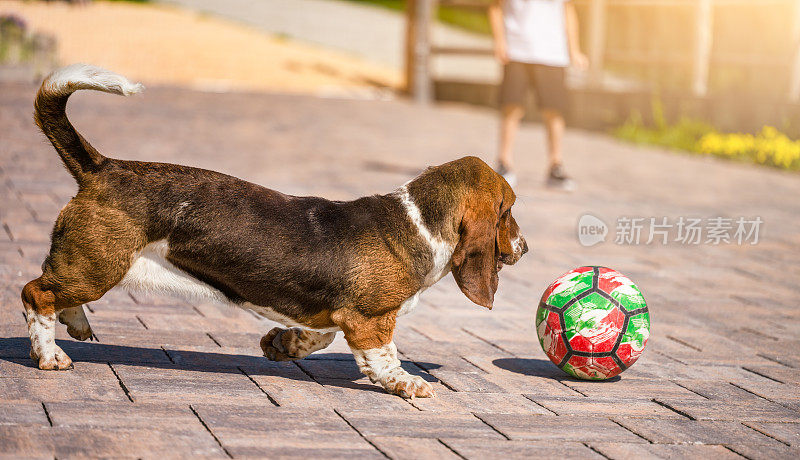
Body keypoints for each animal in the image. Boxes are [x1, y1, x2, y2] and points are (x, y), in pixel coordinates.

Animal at [21, 64, 528, 398]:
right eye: (509, 209)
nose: (525, 247)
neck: (419, 221)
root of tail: (103, 167)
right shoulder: (371, 319)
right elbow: (385, 357)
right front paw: (408, 383)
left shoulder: (334, 314)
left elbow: (320, 336)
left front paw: (282, 344)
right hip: (99, 267)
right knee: (35, 292)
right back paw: (50, 355)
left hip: (94, 268)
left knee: (56, 292)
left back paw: (76, 324)